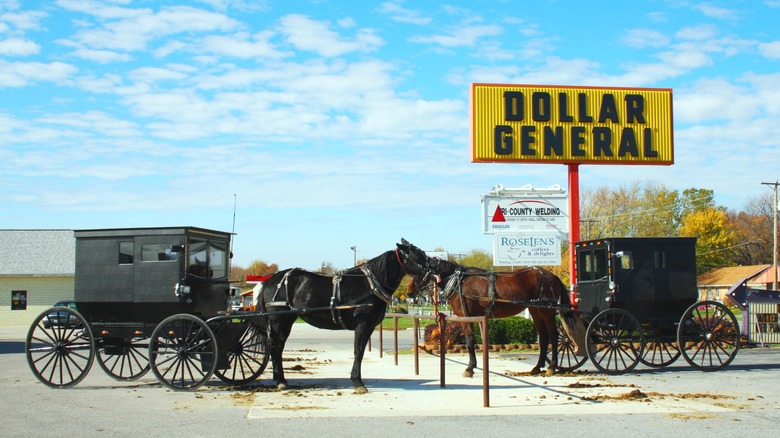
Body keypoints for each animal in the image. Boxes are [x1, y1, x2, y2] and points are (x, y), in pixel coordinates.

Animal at [258, 240, 426, 394]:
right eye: (417, 255)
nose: (432, 268)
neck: (371, 284)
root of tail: (270, 280)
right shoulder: (362, 325)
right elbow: (358, 352)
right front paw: (358, 382)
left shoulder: (369, 327)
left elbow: (360, 351)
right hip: (279, 321)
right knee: (276, 348)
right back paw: (281, 381)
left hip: (286, 321)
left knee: (278, 348)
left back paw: (280, 379)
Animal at [414, 258, 572, 378]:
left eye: (417, 271)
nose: (411, 291)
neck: (458, 281)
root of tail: (551, 276)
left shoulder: (466, 317)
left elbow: (470, 341)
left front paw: (470, 368)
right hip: (535, 310)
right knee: (543, 337)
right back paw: (538, 367)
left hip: (547, 310)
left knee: (553, 335)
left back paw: (552, 366)